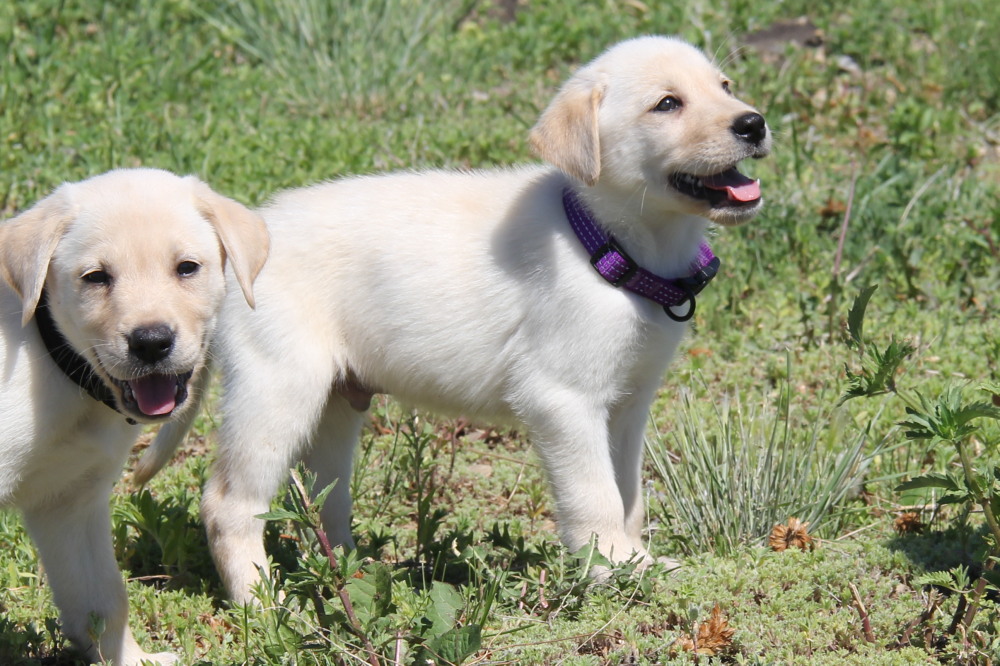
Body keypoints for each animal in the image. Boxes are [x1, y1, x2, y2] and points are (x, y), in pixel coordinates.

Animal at [0, 169, 270, 660]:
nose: (151, 342)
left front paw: (133, 660)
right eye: (95, 277)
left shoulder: (69, 500)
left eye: (187, 268)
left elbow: (104, 599)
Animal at [137, 33, 768, 600]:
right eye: (667, 104)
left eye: (724, 86)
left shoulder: (629, 403)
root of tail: (232, 257)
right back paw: (263, 605)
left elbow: (628, 492)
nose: (754, 123)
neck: (607, 242)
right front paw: (612, 570)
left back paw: (353, 580)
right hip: (277, 389)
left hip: (335, 404)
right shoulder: (561, 398)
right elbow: (596, 494)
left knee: (327, 501)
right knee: (229, 504)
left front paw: (637, 560)